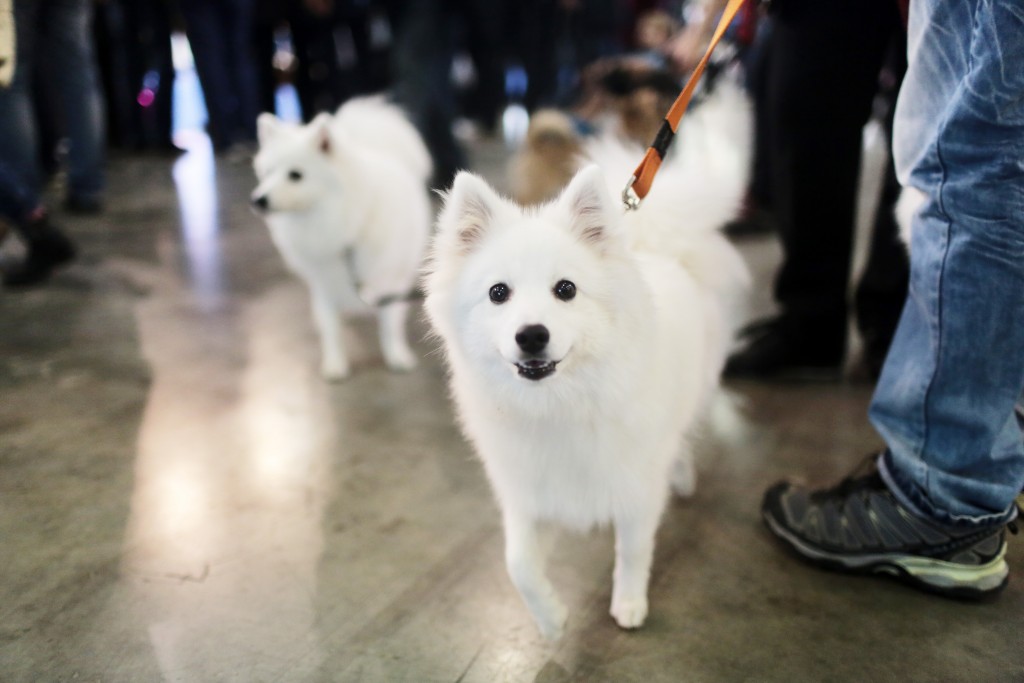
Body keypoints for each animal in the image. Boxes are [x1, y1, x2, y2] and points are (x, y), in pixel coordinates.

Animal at [258, 97, 434, 378]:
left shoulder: (390, 281)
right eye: (267, 173)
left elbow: (390, 324)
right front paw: (335, 363)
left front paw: (396, 356)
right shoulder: (325, 283)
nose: (258, 200)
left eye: (295, 175)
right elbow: (331, 327)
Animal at [421, 82, 753, 638]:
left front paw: (629, 603)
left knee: (685, 431)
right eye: (498, 293)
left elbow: (634, 550)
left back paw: (682, 474)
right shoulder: (529, 492)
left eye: (566, 289)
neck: (560, 402)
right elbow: (517, 563)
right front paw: (551, 618)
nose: (532, 335)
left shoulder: (635, 487)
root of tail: (662, 249)